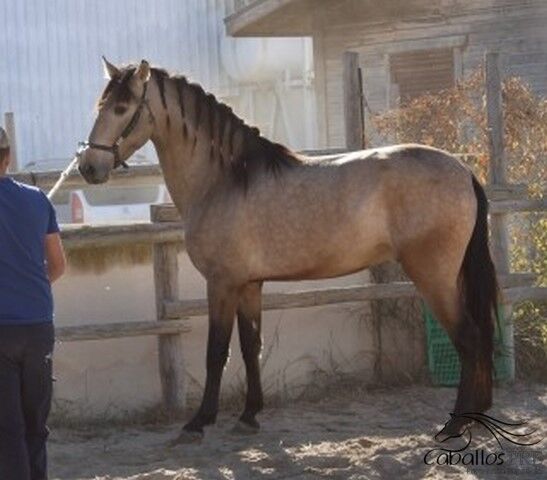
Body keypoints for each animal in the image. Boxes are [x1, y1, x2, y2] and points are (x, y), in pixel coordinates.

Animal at [77, 59, 500, 442]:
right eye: (100, 105)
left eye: (121, 108)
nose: (88, 167)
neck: (225, 179)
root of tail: (463, 170)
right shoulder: (249, 285)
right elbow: (250, 347)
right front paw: (249, 416)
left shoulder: (222, 283)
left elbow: (217, 352)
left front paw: (197, 423)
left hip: (434, 278)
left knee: (469, 339)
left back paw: (456, 425)